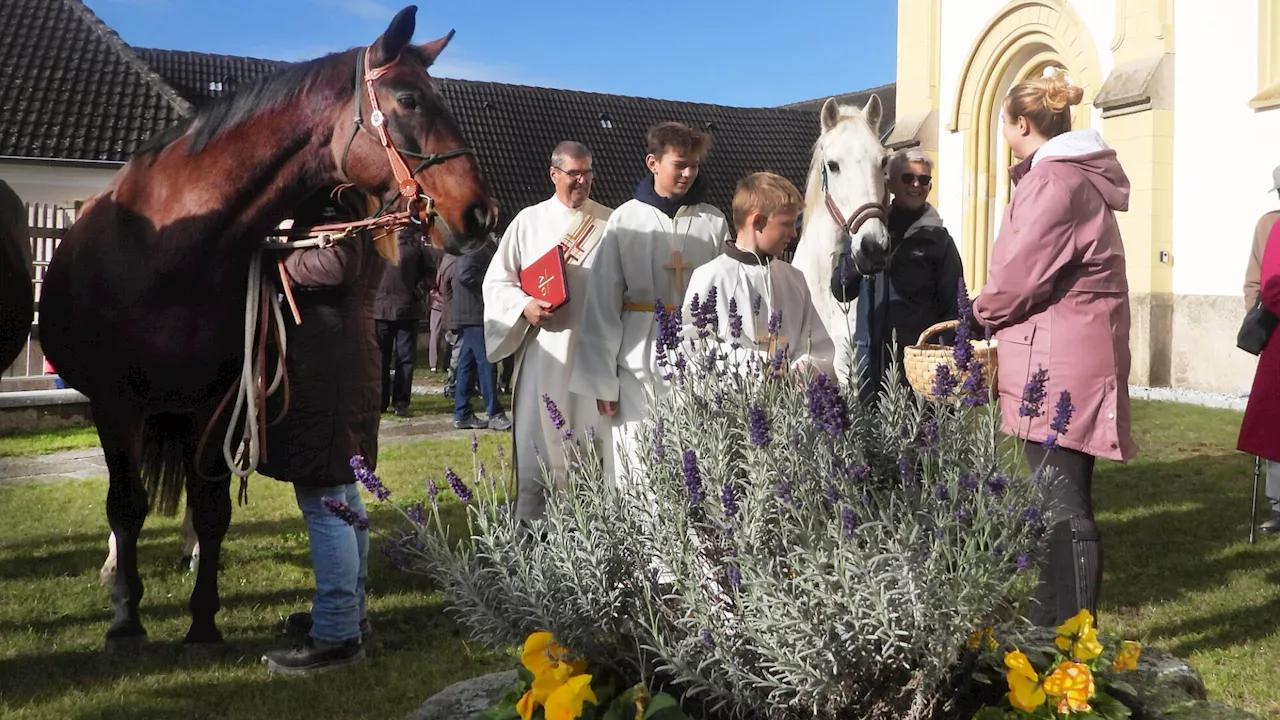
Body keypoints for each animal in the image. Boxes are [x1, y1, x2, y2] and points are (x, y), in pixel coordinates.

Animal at [37, 4, 491, 650]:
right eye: (409, 98)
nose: (480, 213)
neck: (172, 249)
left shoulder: (212, 401)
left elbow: (212, 507)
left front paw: (203, 621)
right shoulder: (115, 403)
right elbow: (125, 505)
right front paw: (126, 619)